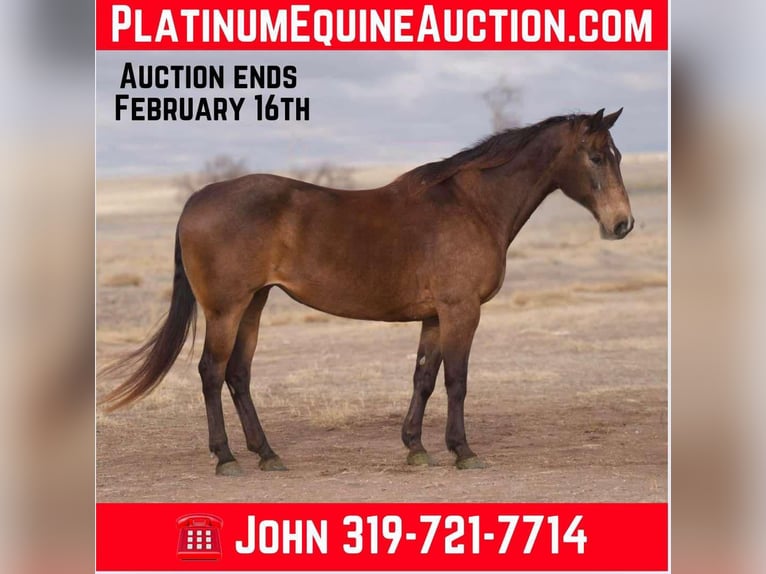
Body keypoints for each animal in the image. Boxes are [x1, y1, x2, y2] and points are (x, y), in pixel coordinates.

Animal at [101, 108, 633, 475]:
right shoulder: (460, 311)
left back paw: (267, 454)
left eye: (618, 156)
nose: (622, 224)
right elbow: (457, 381)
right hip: (226, 309)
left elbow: (424, 378)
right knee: (212, 373)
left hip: (253, 304)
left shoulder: (435, 316)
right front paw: (463, 451)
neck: (471, 205)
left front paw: (416, 448)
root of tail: (197, 198)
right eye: (596, 156)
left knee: (238, 375)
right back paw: (227, 458)